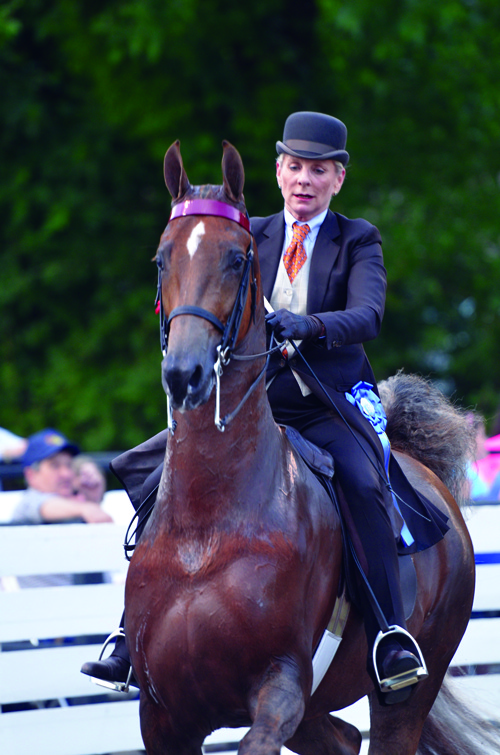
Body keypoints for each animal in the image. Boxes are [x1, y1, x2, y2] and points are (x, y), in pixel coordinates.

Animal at [123, 142, 486, 755]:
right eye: (160, 260)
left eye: (238, 259)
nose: (184, 374)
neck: (207, 524)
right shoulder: (163, 716)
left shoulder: (281, 686)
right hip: (319, 710)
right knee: (341, 737)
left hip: (404, 696)